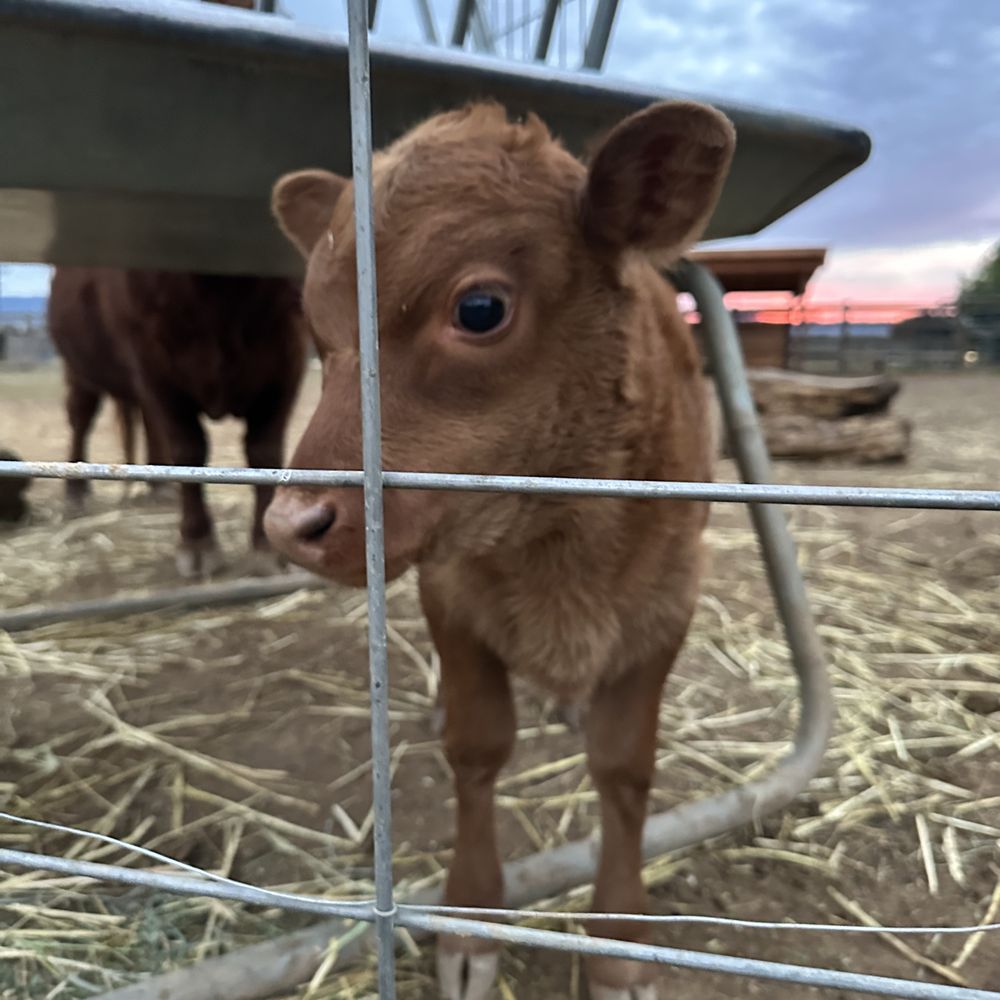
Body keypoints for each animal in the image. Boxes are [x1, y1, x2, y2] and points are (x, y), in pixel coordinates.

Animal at [47, 268, 308, 577]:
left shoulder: (288, 354)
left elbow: (265, 452)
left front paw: (269, 548)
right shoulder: (153, 362)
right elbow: (188, 451)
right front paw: (197, 544)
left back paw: (160, 487)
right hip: (79, 371)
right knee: (80, 420)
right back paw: (75, 493)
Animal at [263, 99, 735, 999]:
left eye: (479, 308)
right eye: (314, 330)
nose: (290, 523)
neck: (556, 543)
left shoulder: (670, 603)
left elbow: (625, 769)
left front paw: (619, 943)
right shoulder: (451, 594)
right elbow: (477, 751)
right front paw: (471, 923)